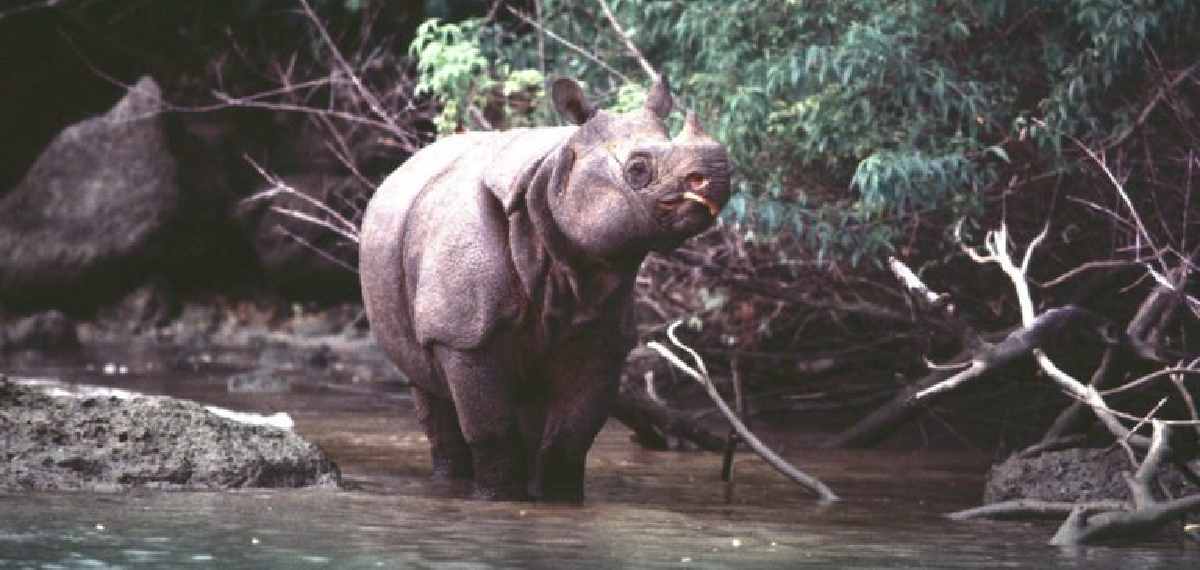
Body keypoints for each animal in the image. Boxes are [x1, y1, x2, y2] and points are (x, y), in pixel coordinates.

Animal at [359, 77, 731, 501]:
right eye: (637, 169)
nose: (718, 178)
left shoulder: (602, 336)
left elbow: (572, 435)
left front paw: (559, 500)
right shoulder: (462, 334)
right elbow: (490, 428)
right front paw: (499, 498)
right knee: (427, 386)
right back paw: (451, 482)